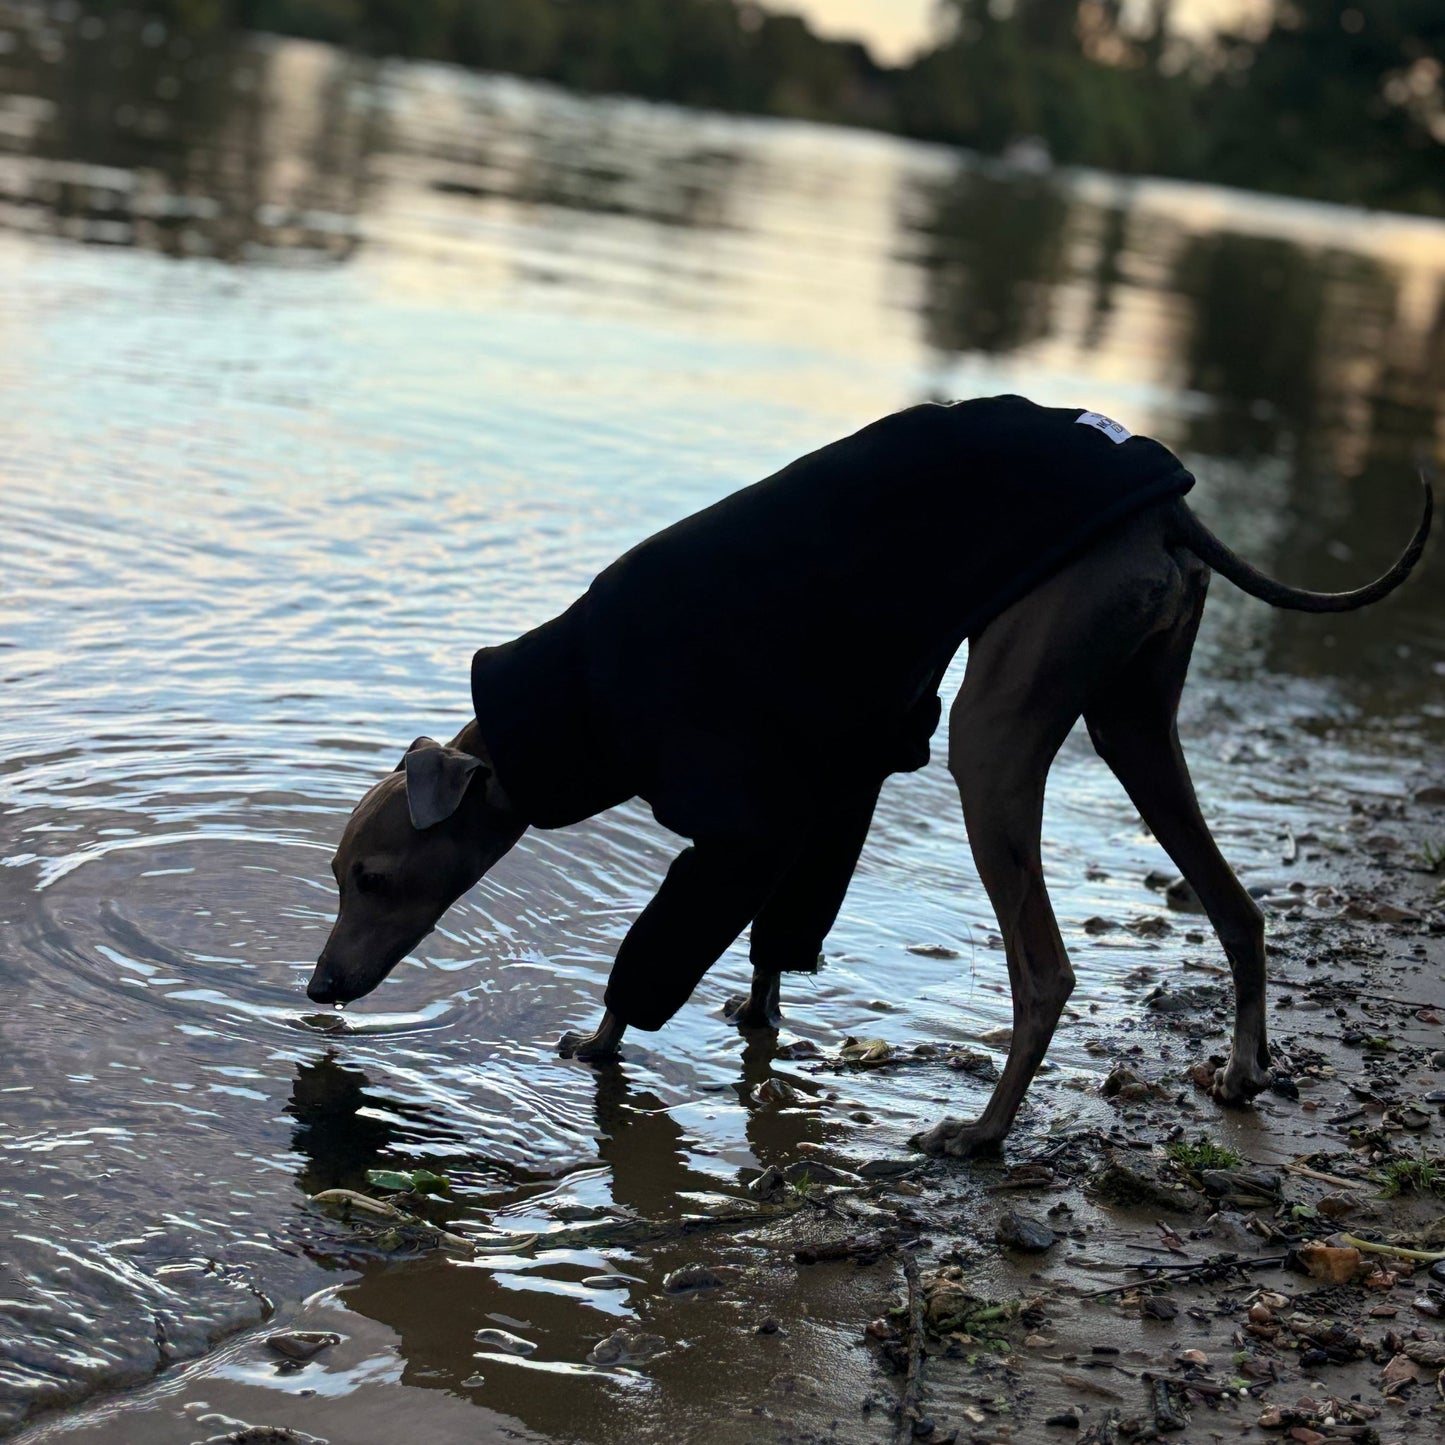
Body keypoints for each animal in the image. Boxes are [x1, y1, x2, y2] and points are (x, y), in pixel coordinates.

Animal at [307, 398, 1433, 1161]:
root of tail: (1167, 514)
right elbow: (779, 930)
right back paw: (1241, 1068)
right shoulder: (837, 780)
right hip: (1131, 721)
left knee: (1045, 970)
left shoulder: (741, 824)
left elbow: (657, 950)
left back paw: (981, 1131)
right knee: (1236, 907)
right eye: (335, 875)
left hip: (995, 731)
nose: (316, 987)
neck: (576, 692)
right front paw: (758, 1018)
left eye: (371, 877)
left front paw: (598, 1041)